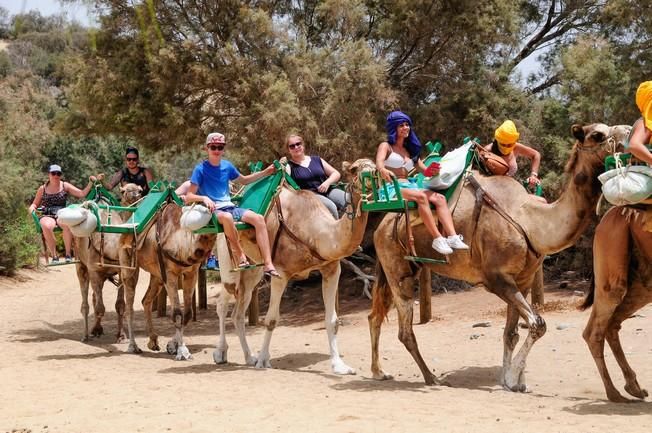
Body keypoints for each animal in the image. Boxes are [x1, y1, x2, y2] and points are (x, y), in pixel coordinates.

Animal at [73, 182, 146, 340]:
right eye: (124, 191)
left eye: (140, 189)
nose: (135, 194)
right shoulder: (94, 270)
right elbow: (100, 308)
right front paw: (95, 330)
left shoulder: (120, 270)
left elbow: (120, 305)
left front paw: (122, 335)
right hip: (80, 263)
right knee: (86, 300)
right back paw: (86, 334)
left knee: (94, 297)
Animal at [119, 201, 216, 360]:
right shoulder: (170, 273)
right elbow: (177, 313)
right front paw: (182, 351)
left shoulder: (191, 272)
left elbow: (187, 313)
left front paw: (172, 346)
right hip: (128, 264)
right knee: (129, 305)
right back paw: (133, 346)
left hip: (157, 275)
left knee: (146, 300)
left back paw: (153, 341)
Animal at [214, 157, 374, 372]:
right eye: (355, 169)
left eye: (376, 167)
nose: (374, 178)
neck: (315, 233)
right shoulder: (280, 273)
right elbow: (271, 320)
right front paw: (263, 361)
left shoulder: (332, 269)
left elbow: (332, 320)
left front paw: (340, 366)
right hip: (227, 258)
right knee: (223, 302)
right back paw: (221, 353)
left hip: (253, 270)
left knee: (238, 312)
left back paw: (249, 357)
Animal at [370, 123, 628, 390]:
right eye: (597, 134)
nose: (629, 131)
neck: (531, 222)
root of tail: (382, 224)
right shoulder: (496, 279)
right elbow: (538, 325)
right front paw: (513, 377)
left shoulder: (522, 280)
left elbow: (511, 333)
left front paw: (511, 381)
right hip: (397, 268)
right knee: (404, 330)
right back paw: (431, 378)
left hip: (408, 265)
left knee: (375, 315)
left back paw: (380, 372)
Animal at [580, 206, 652, 402]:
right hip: (612, 248)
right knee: (594, 331)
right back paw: (614, 393)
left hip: (642, 284)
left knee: (612, 324)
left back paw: (634, 388)